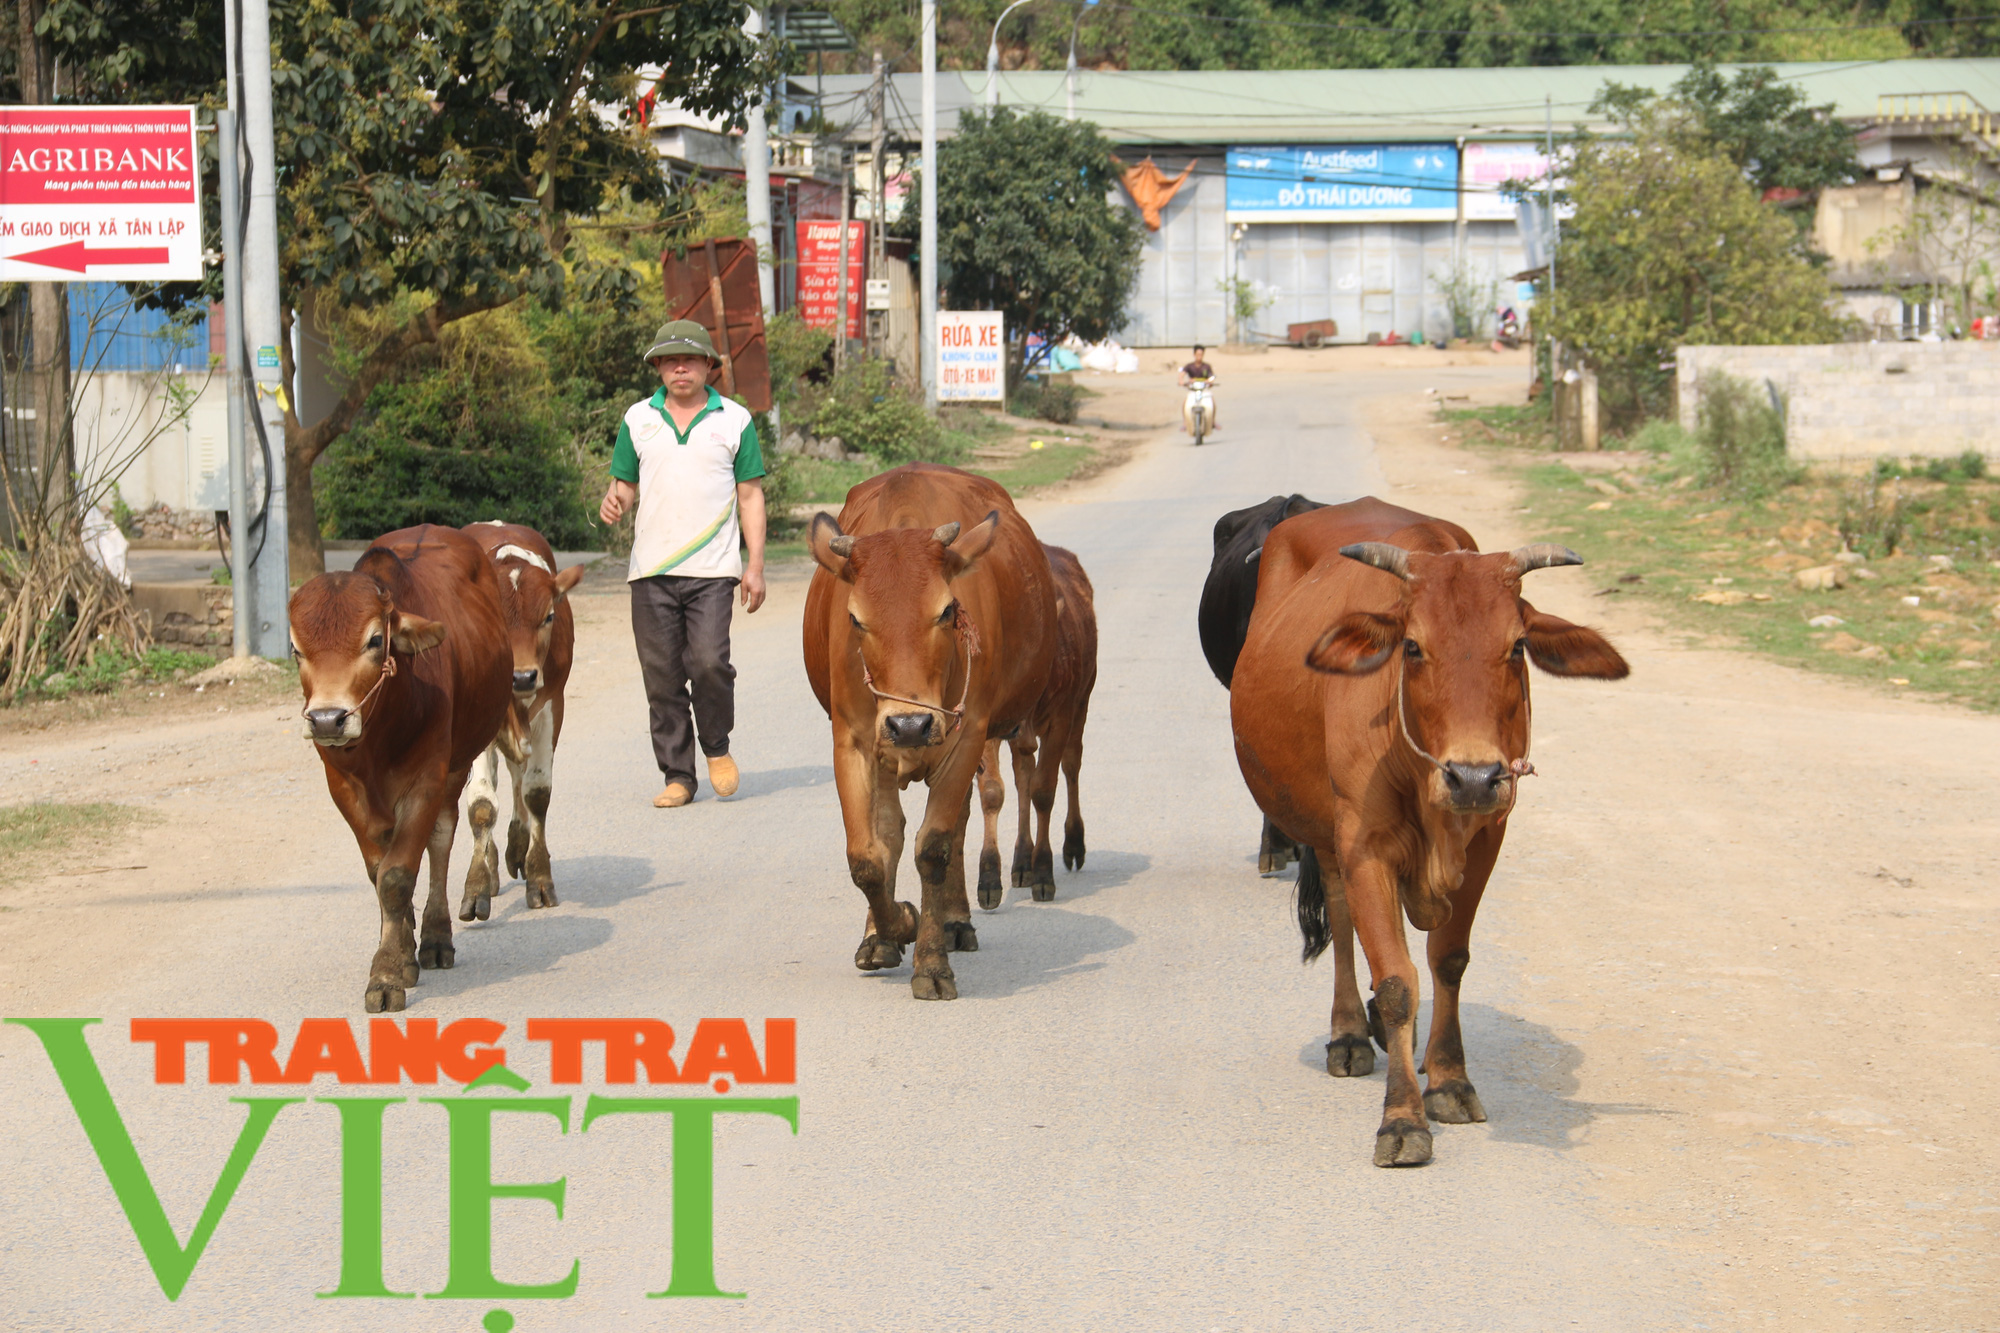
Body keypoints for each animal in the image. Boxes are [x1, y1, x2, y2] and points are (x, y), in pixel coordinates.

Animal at [294, 520, 520, 1008]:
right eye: (297, 650)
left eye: (375, 640)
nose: (327, 719)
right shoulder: (343, 787)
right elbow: (378, 873)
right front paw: (398, 953)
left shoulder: (426, 780)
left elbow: (397, 875)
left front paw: (385, 975)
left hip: (456, 766)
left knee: (440, 838)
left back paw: (435, 937)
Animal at [456, 520, 580, 912]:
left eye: (548, 616)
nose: (523, 676)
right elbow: (481, 803)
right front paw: (477, 885)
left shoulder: (552, 706)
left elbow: (536, 791)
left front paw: (539, 875)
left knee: (517, 776)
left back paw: (517, 845)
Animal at [976, 540, 1104, 904]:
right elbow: (993, 792)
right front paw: (989, 877)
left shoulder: (1060, 719)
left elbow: (1044, 791)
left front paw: (1043, 872)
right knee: (1023, 776)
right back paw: (1021, 860)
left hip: (1082, 702)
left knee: (1070, 766)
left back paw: (1072, 844)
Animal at [1224, 498, 1632, 1160]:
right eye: (1412, 647)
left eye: (1517, 646)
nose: (1474, 777)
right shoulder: (1364, 846)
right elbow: (1396, 981)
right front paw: (1402, 1118)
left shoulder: (1488, 838)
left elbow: (1448, 960)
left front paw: (1447, 1082)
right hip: (1326, 834)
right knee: (1342, 918)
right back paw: (1349, 1034)